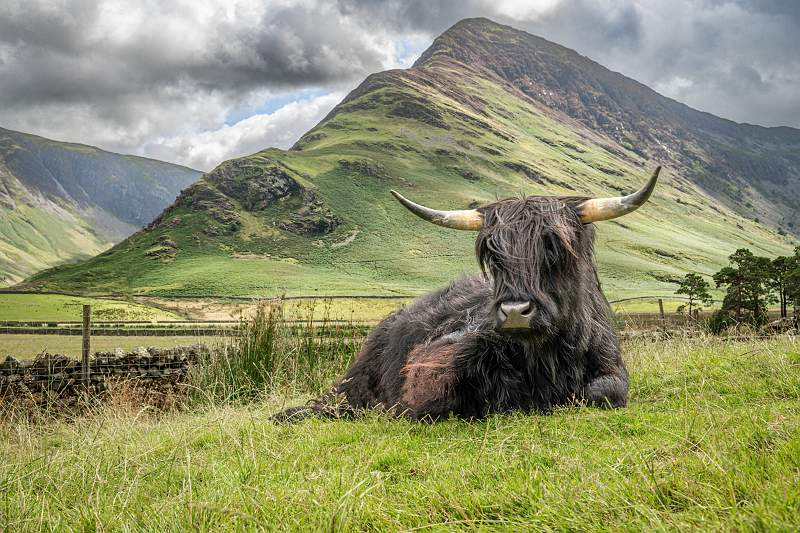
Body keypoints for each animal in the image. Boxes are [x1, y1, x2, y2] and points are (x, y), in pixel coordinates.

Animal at [275, 167, 661, 421]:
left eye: (554, 247)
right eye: (492, 253)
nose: (515, 311)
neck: (546, 354)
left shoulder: (611, 367)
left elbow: (603, 392)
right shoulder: (436, 359)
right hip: (355, 377)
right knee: (335, 401)